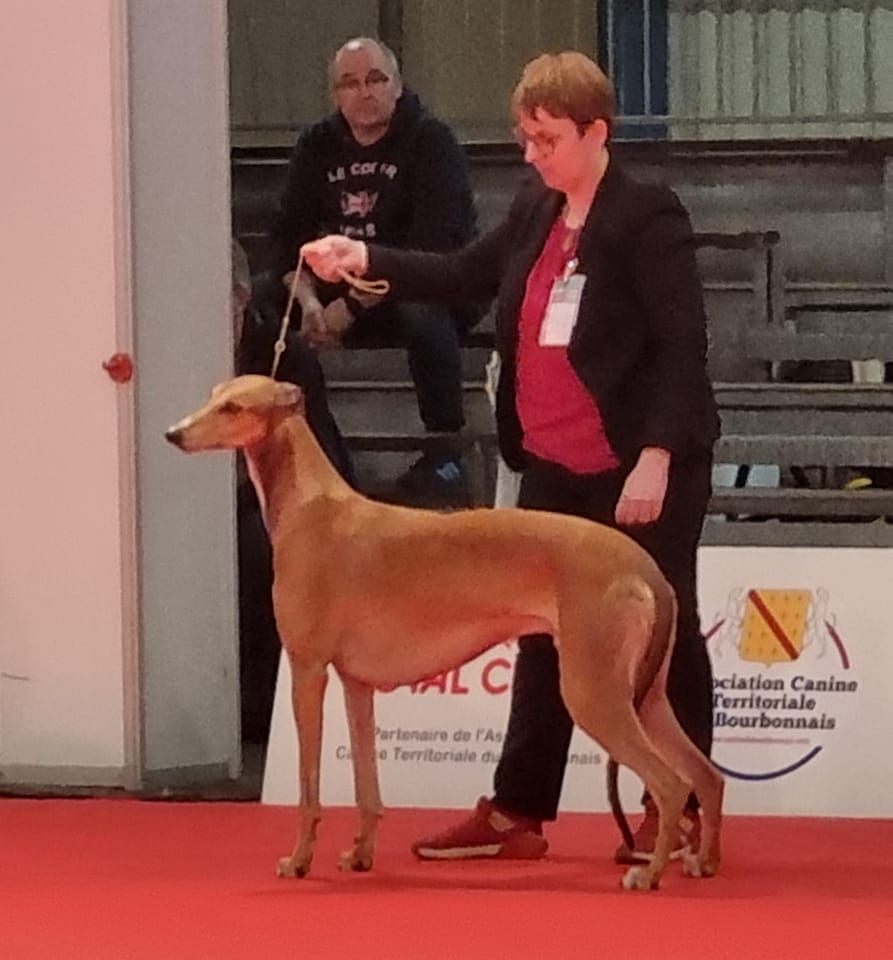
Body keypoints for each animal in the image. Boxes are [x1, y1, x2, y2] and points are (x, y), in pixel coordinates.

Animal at [167, 376, 720, 892]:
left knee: (672, 784)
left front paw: (299, 860)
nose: (174, 434)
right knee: (706, 775)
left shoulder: (307, 671)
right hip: (646, 696)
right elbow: (367, 786)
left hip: (595, 692)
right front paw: (360, 855)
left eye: (233, 407)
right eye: (213, 396)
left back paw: (649, 873)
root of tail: (645, 566)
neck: (310, 504)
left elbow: (309, 789)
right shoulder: (356, 684)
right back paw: (704, 862)